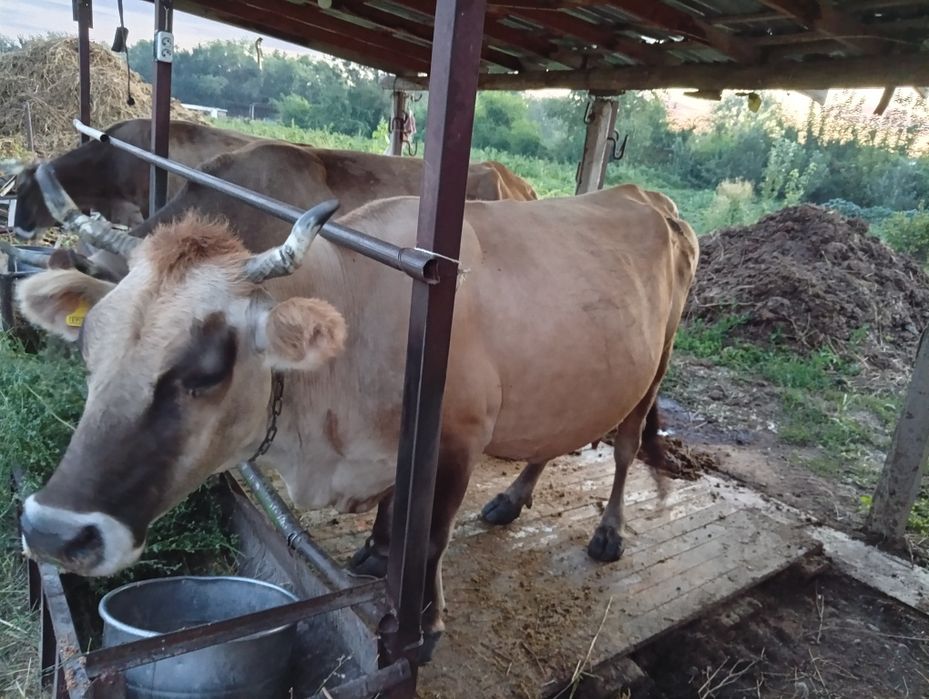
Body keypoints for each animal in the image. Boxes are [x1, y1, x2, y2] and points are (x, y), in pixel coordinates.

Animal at [16, 166, 698, 662]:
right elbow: (397, 516)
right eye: (89, 343)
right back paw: (512, 499)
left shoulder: (458, 439)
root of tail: (649, 196)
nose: (53, 531)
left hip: (657, 363)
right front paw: (374, 552)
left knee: (627, 444)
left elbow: (430, 540)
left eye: (206, 370)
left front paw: (426, 628)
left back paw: (607, 533)